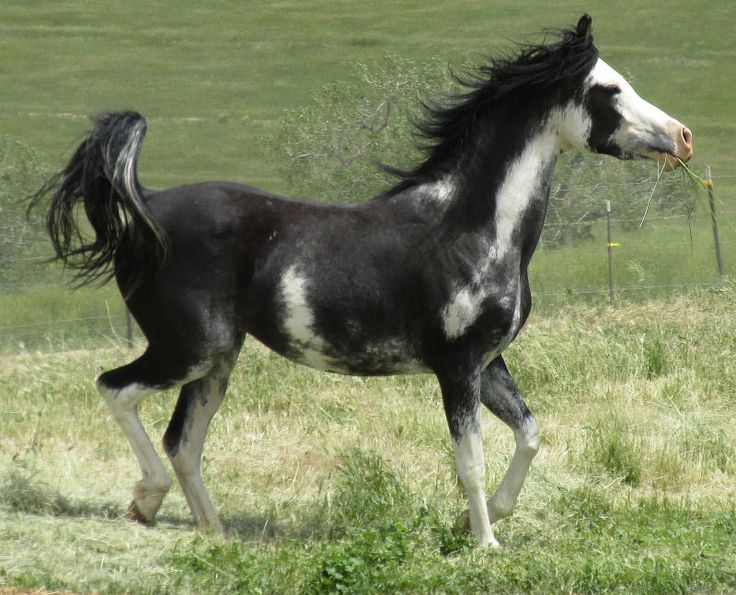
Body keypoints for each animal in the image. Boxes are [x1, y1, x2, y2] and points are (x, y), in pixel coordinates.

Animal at [28, 14, 692, 548]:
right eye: (610, 88)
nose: (682, 137)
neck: (468, 228)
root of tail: (145, 207)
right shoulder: (456, 367)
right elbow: (470, 461)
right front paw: (484, 545)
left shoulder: (488, 362)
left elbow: (529, 435)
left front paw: (471, 525)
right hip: (188, 349)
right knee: (118, 391)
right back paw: (146, 499)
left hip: (217, 361)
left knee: (183, 441)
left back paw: (212, 532)